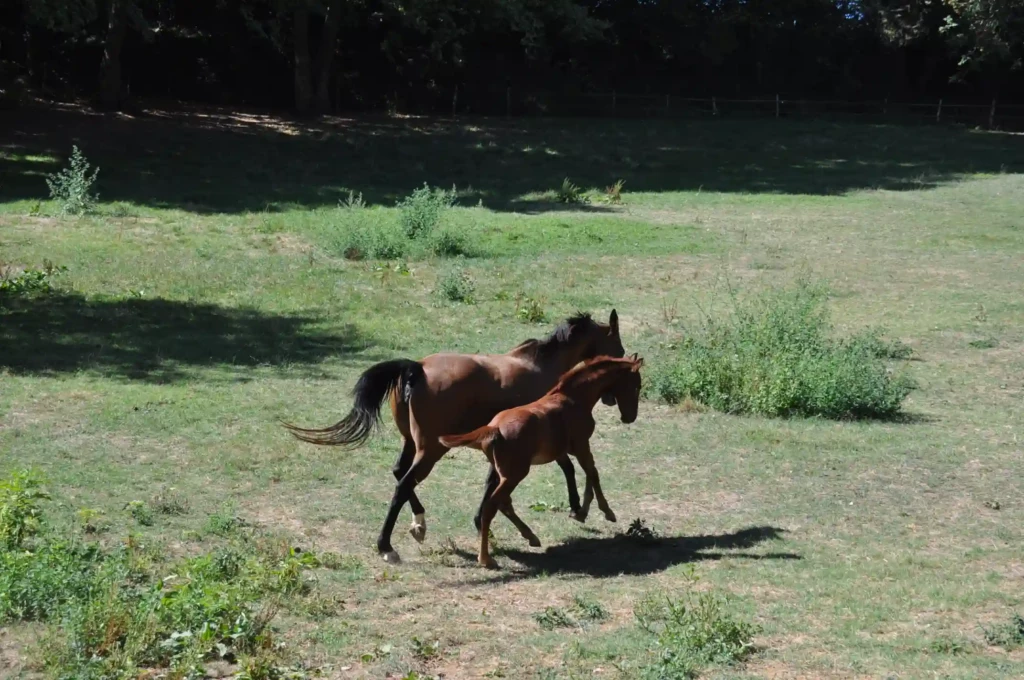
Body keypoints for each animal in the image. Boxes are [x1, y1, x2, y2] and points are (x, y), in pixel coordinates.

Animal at [281, 311, 625, 562]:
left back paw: (419, 524)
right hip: (431, 450)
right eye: (619, 348)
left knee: (399, 474)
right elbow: (564, 466)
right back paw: (386, 547)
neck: (542, 365)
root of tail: (417, 369)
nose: (613, 399)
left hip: (413, 443)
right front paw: (576, 507)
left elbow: (497, 484)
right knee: (404, 483)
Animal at [439, 354, 644, 568]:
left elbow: (583, 472)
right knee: (492, 505)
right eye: (637, 386)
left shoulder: (563, 451)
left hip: (502, 472)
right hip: (515, 474)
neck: (573, 398)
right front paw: (606, 512)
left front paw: (580, 512)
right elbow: (593, 473)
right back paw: (486, 558)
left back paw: (531, 537)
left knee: (503, 503)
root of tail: (493, 428)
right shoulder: (581, 445)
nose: (629, 417)